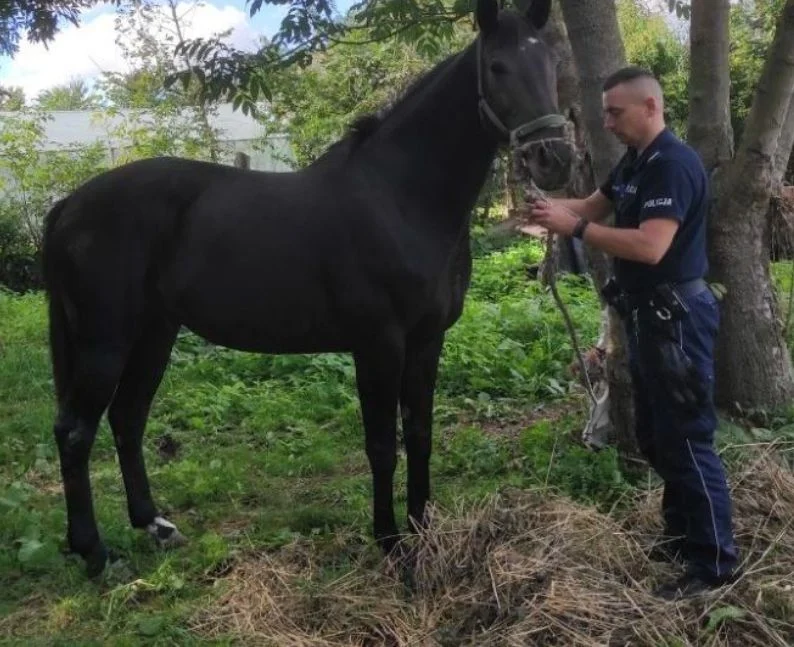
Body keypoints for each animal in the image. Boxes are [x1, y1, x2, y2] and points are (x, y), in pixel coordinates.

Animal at [40, 0, 568, 576]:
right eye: (497, 66)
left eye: (553, 64)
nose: (554, 158)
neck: (399, 199)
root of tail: (69, 206)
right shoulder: (378, 344)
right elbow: (382, 444)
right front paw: (389, 541)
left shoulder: (428, 340)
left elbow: (421, 435)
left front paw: (422, 528)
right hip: (105, 342)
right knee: (75, 431)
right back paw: (94, 552)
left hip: (155, 333)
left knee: (128, 417)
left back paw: (154, 525)